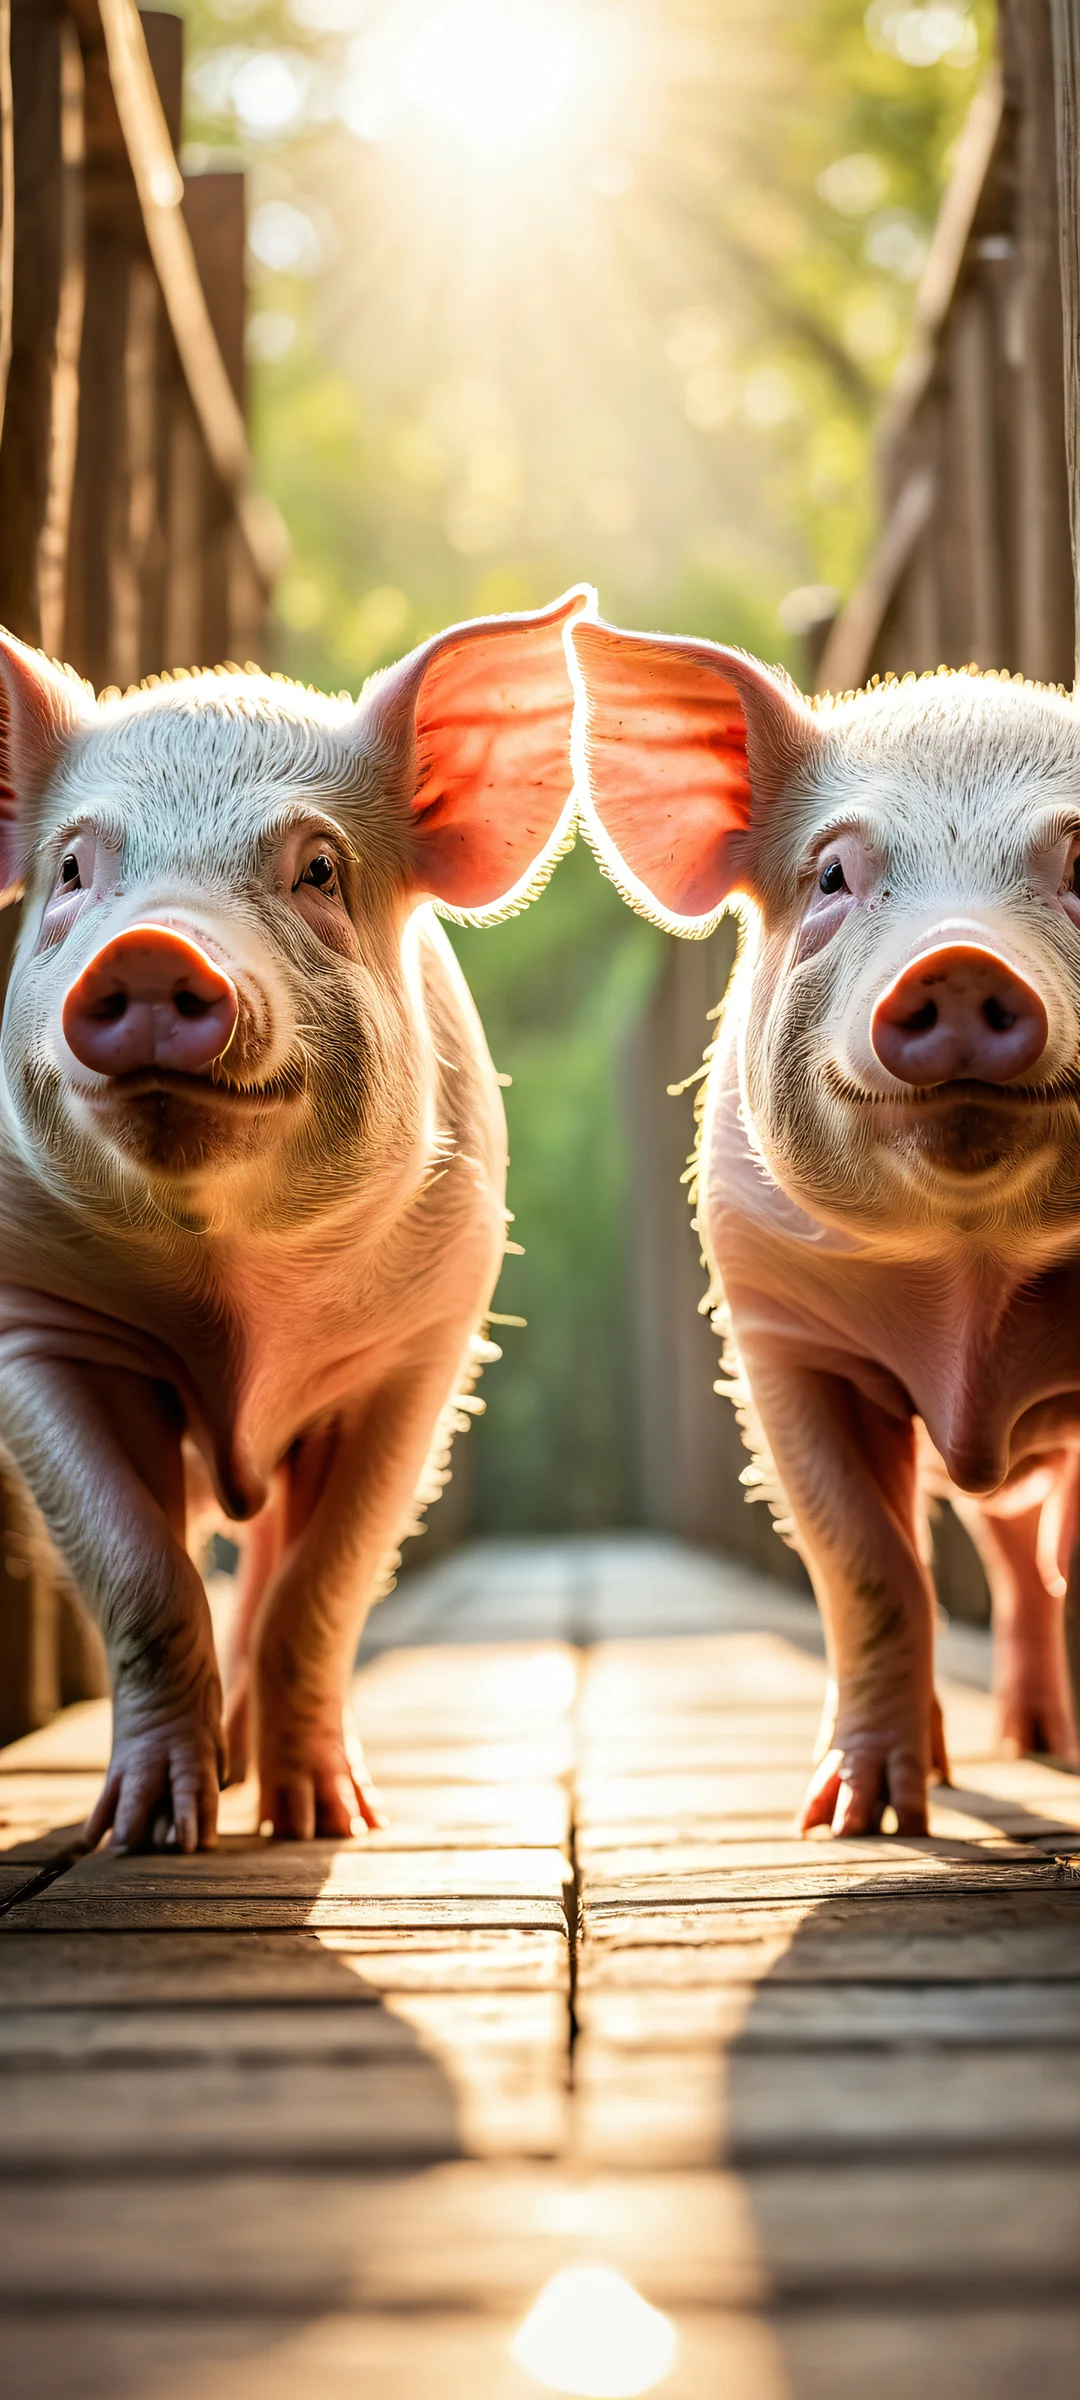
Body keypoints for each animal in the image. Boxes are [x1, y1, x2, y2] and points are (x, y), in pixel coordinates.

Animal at [0, 587, 587, 1850]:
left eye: (318, 869)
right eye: (72, 867)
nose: (152, 946)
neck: (234, 1299)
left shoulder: (422, 1348)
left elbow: (323, 1585)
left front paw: (328, 1825)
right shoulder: (37, 1321)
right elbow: (138, 1569)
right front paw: (144, 1836)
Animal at [569, 611, 1080, 1834]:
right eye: (836, 874)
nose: (960, 959)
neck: (969, 1295)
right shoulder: (782, 1339)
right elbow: (868, 1564)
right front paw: (860, 1820)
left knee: (1025, 1556)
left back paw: (1043, 1746)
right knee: (997, 1553)